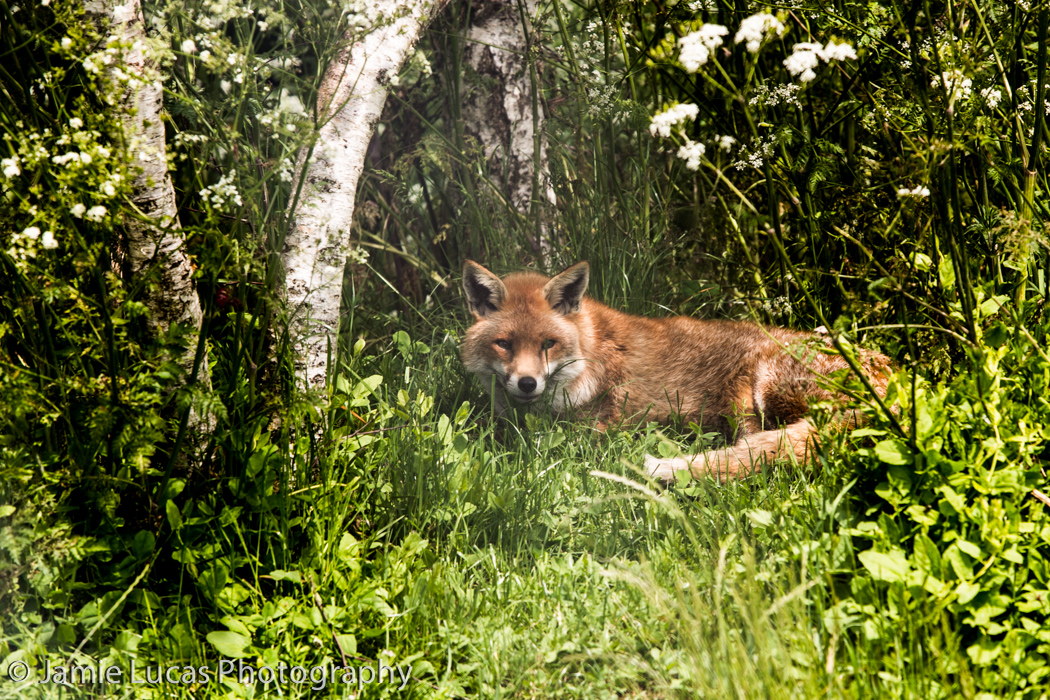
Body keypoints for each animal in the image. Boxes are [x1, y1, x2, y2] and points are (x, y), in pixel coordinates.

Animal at [460, 259, 892, 483]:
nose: (527, 383)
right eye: (505, 344)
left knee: (758, 452)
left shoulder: (589, 430)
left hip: (756, 387)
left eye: (547, 344)